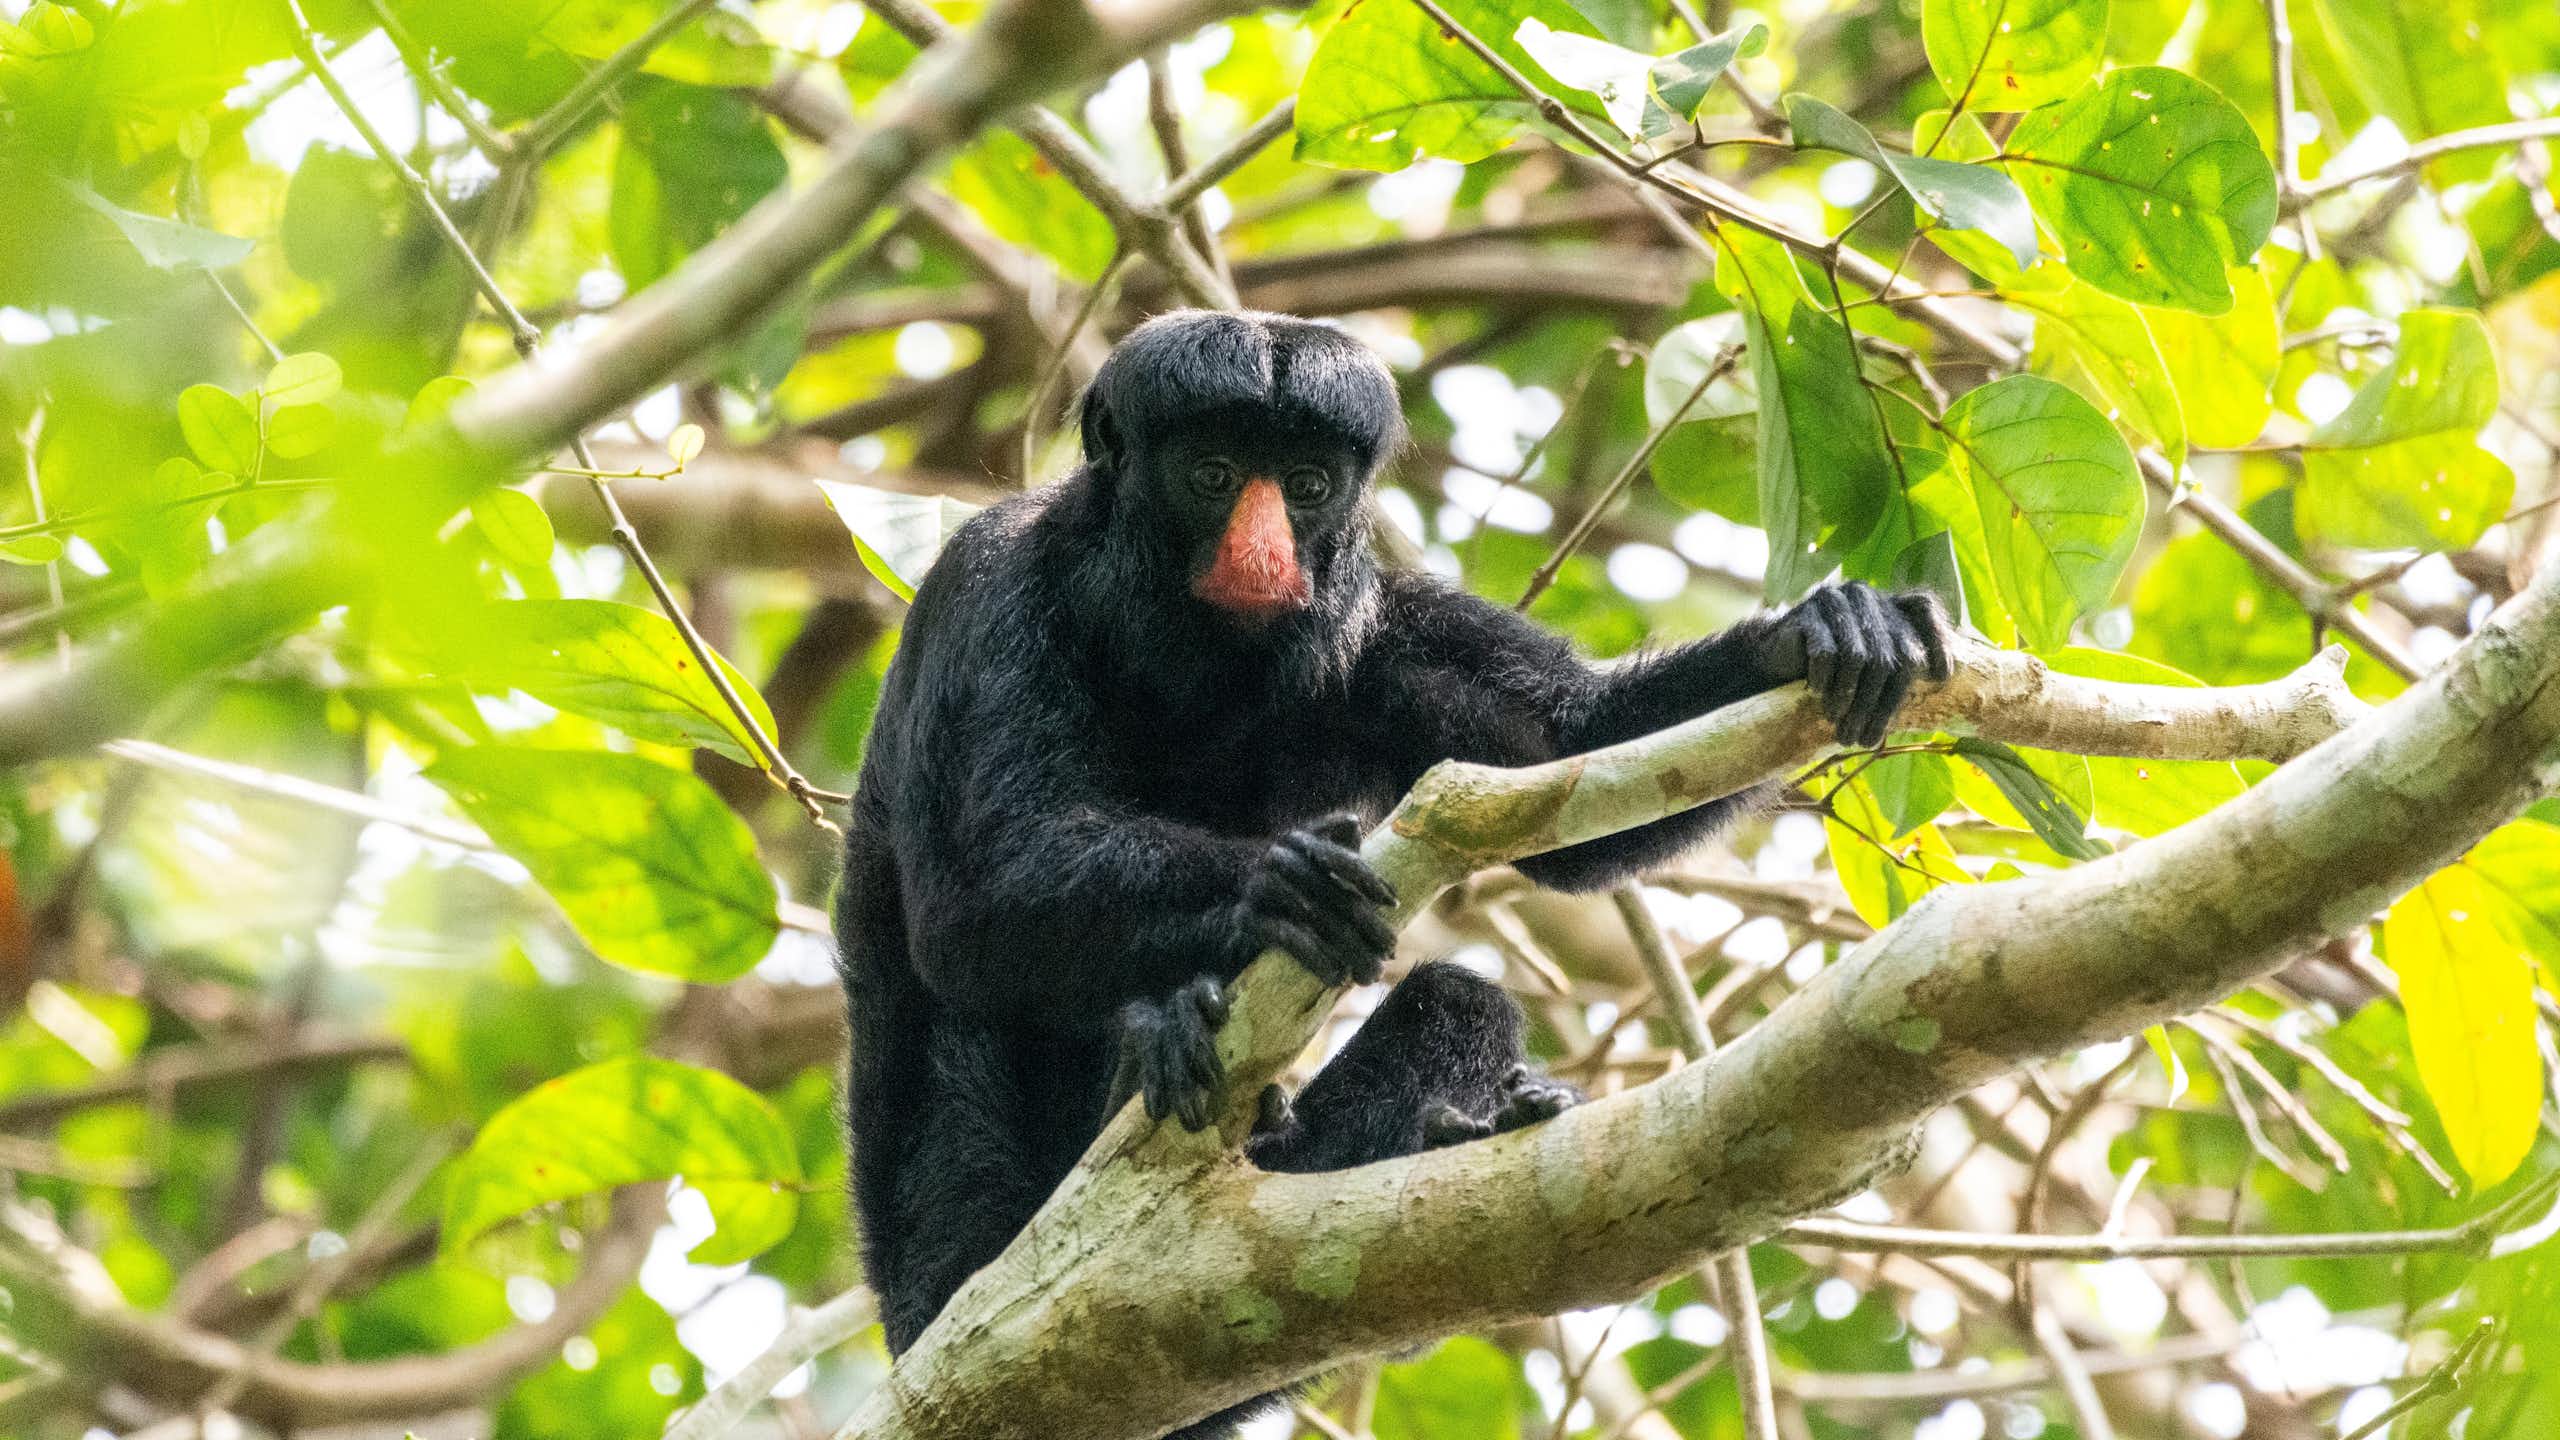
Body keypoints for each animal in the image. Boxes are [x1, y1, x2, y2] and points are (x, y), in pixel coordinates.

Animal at [833, 310, 1952, 1435]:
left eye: (1307, 486)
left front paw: (1807, 636)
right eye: (1212, 475)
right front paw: (1277, 889)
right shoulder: (988, 583)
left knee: (1460, 1001)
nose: (1264, 556)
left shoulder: (1377, 619)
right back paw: (1155, 1047)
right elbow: (971, 901)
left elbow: (1571, 755)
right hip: (949, 1247)